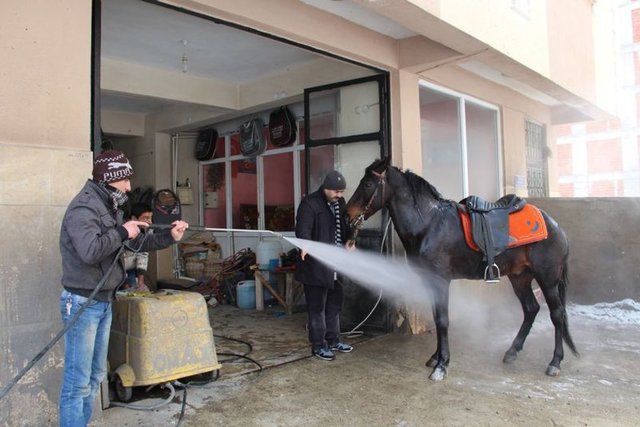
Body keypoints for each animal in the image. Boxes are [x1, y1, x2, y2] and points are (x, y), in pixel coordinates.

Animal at [344, 159, 580, 382]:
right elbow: (437, 317)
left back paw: (555, 362)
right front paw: (435, 357)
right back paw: (512, 351)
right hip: (519, 277)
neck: (429, 224)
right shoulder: (430, 281)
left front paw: (442, 365)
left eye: (367, 184)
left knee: (557, 315)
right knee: (531, 309)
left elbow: (442, 320)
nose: (347, 214)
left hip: (547, 279)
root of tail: (556, 226)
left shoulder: (441, 280)